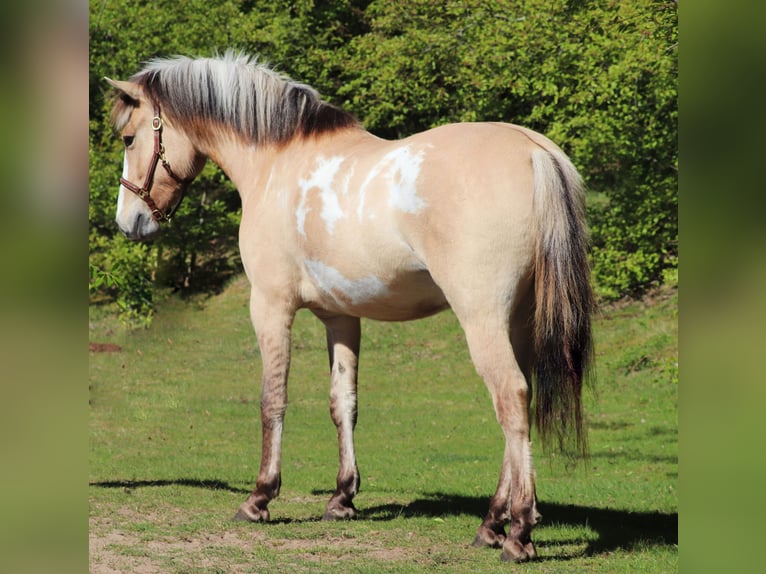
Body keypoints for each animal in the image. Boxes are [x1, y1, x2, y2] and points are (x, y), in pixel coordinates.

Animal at [106, 51, 594, 563]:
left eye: (129, 137)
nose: (127, 222)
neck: (277, 162)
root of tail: (534, 151)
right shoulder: (340, 317)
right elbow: (343, 403)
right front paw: (342, 498)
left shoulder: (271, 307)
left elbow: (272, 400)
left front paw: (259, 498)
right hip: (517, 324)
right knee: (519, 402)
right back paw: (491, 524)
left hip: (483, 322)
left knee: (511, 401)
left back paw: (518, 532)